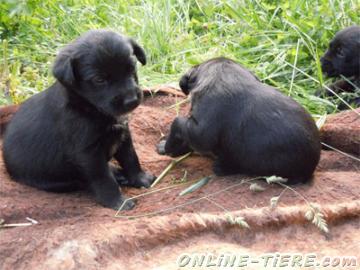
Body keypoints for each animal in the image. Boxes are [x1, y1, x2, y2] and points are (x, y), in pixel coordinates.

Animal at [2, 30, 155, 211]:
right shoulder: (88, 153)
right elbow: (103, 178)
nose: (131, 100)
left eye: (131, 68)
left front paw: (140, 179)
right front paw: (117, 201)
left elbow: (131, 158)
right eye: (99, 79)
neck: (90, 108)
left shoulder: (123, 134)